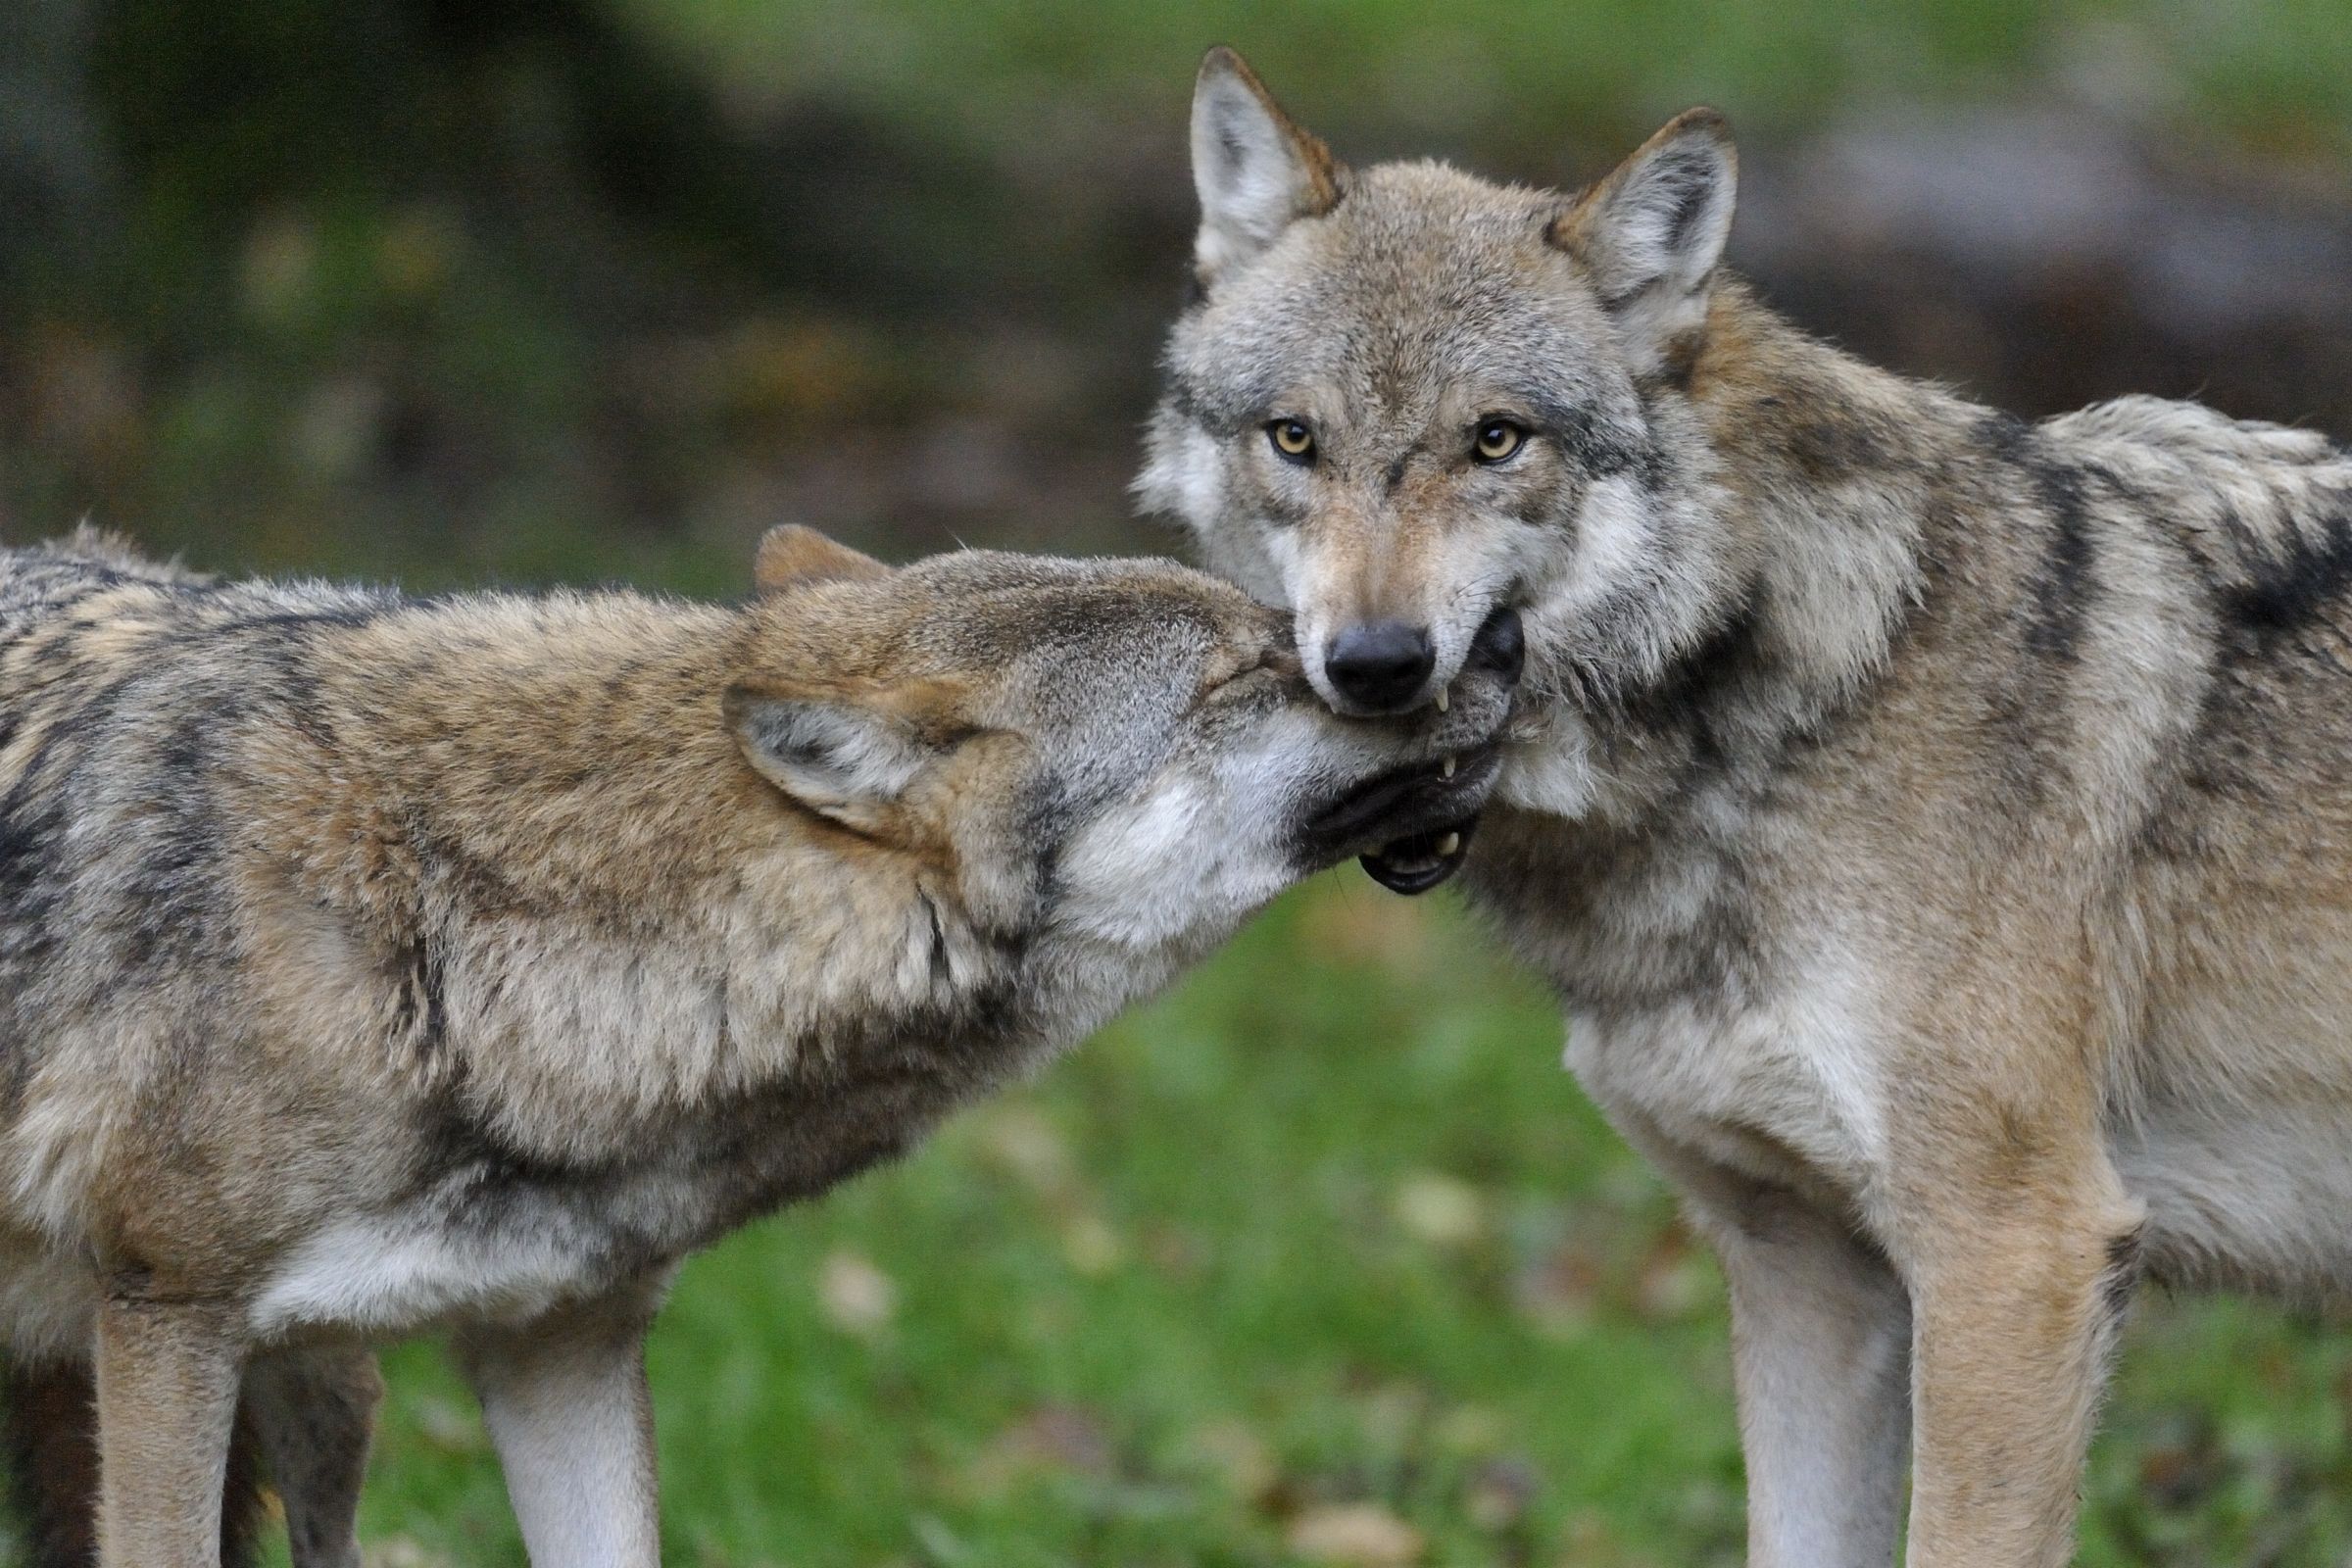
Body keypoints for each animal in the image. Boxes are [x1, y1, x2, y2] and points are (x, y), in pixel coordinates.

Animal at [0, 521, 1514, 1560]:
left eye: (1275, 623)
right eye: (1246, 671)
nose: (1497, 640)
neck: (447, 916)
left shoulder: (564, 1348)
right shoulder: (166, 1325)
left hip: (325, 1393)